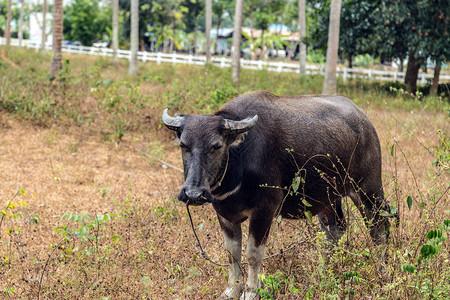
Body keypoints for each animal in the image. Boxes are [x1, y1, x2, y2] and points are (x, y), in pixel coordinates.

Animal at [163, 91, 394, 300]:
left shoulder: (264, 210)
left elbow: (253, 255)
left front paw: (251, 292)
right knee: (335, 230)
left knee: (379, 226)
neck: (239, 162)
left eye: (216, 146)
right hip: (329, 198)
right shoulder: (225, 214)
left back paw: (382, 270)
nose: (194, 194)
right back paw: (324, 273)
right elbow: (232, 254)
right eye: (184, 145)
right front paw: (231, 290)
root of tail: (365, 123)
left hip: (368, 188)